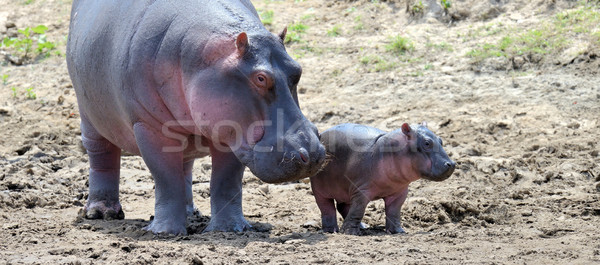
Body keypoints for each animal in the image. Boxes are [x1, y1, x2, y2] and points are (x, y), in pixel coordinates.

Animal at [67, 0, 324, 235]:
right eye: (260, 78)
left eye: (297, 70)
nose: (311, 153)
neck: (207, 59)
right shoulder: (149, 126)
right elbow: (166, 178)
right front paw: (164, 233)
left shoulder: (231, 131)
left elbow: (226, 182)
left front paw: (230, 229)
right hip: (89, 116)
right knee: (102, 158)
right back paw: (101, 213)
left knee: (185, 166)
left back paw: (191, 213)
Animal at [310, 121, 454, 233]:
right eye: (427, 143)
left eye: (440, 140)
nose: (452, 164)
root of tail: (322, 135)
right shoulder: (362, 191)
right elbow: (358, 210)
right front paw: (349, 233)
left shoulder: (399, 192)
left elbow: (394, 212)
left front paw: (399, 231)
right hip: (320, 191)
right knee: (327, 209)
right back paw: (331, 230)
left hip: (345, 190)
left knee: (343, 207)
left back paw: (364, 226)